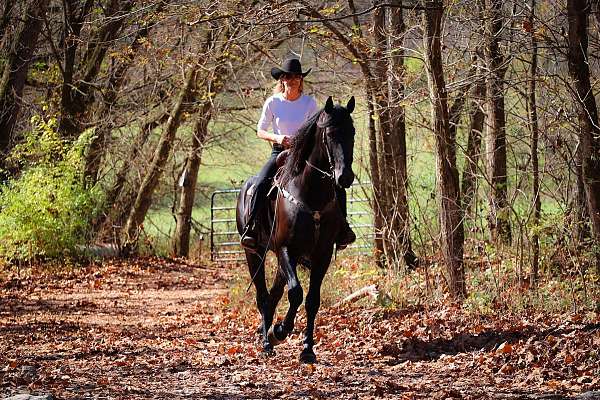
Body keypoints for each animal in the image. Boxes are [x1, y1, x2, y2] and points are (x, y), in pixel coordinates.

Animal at [236, 96, 356, 362]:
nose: (344, 178)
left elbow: (311, 300)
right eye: (330, 133)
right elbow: (296, 293)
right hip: (254, 254)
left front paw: (307, 349)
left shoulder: (322, 255)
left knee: (273, 295)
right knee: (262, 296)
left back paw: (268, 333)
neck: (310, 196)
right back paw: (266, 341)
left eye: (352, 132)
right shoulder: (285, 249)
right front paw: (280, 330)